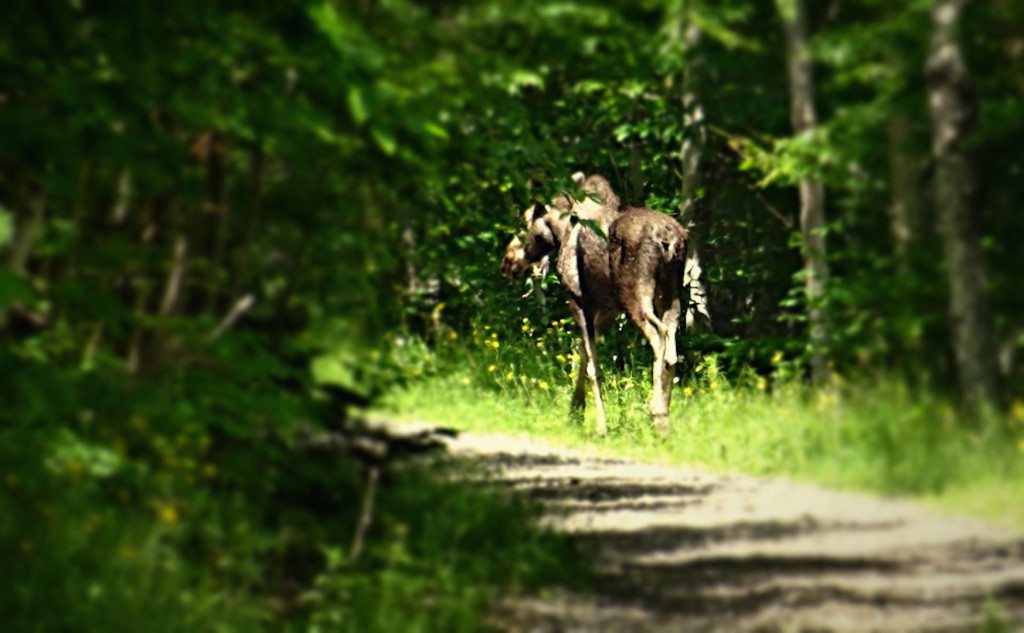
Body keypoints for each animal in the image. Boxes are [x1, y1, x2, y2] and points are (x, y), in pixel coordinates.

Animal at [499, 172, 700, 434]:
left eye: (524, 225)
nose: (506, 262)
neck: (561, 232)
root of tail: (670, 239)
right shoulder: (607, 309)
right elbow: (583, 352)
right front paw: (575, 411)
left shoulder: (577, 298)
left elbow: (593, 365)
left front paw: (599, 425)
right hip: (671, 292)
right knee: (672, 345)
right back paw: (665, 414)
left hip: (635, 294)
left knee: (658, 337)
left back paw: (656, 413)